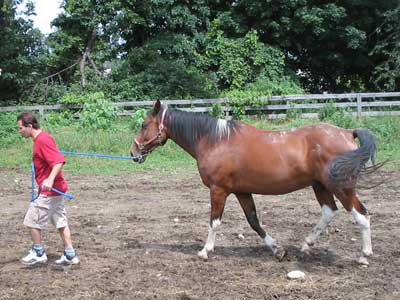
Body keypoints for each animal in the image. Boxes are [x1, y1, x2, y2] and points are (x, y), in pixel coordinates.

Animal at [130, 100, 378, 264]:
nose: (133, 153)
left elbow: (214, 222)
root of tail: (348, 133)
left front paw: (205, 250)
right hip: (320, 186)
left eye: (144, 125)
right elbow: (253, 221)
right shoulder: (242, 191)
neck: (214, 140)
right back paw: (306, 244)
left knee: (361, 215)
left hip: (341, 188)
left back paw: (364, 256)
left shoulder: (218, 190)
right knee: (329, 211)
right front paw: (277, 250)